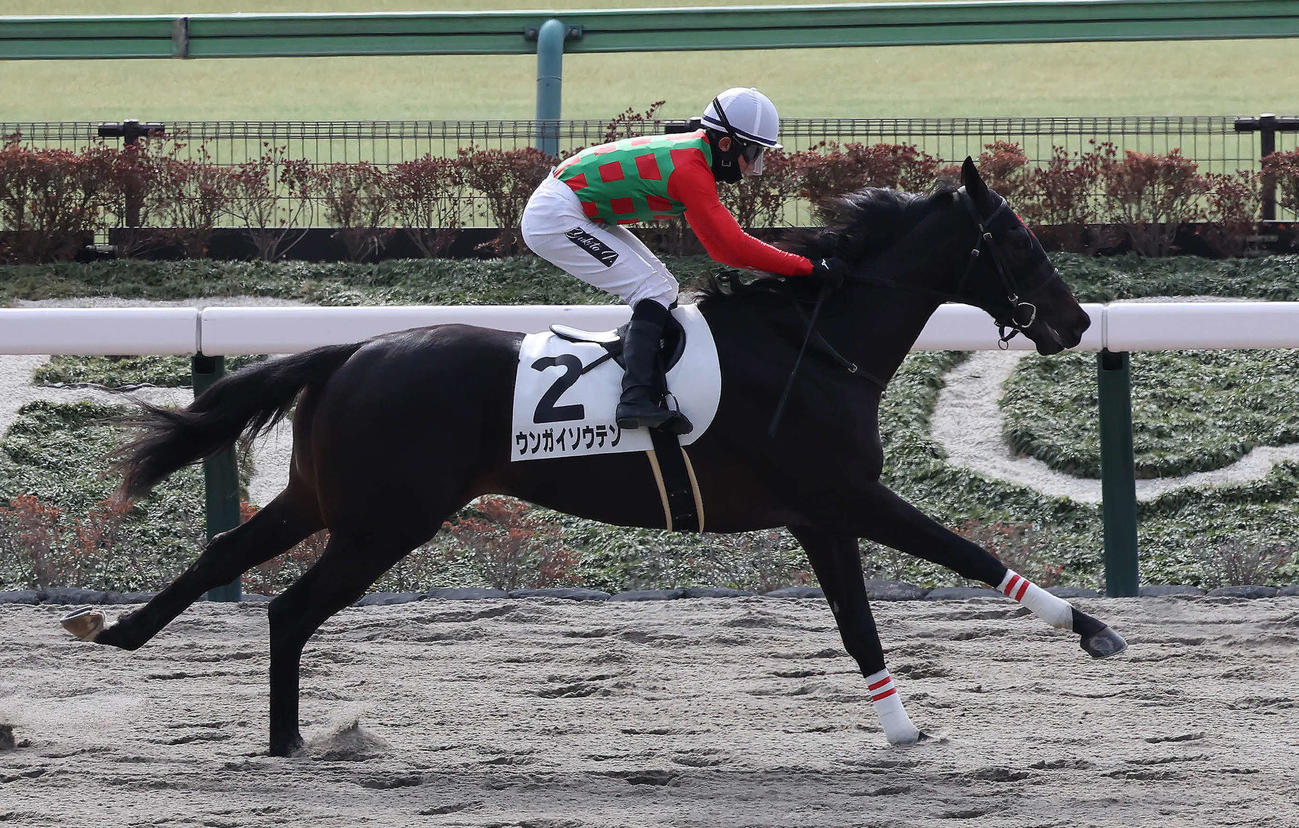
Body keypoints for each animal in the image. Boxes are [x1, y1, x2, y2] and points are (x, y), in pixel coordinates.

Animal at [61, 158, 1125, 757]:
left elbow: (860, 624)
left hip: (329, 498)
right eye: (1015, 238)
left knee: (223, 558)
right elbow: (968, 555)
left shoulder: (820, 514)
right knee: (289, 609)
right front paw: (1092, 630)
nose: (1075, 321)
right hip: (385, 520)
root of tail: (350, 350)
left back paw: (125, 634)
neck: (816, 344)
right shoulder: (848, 496)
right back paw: (286, 741)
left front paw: (900, 728)